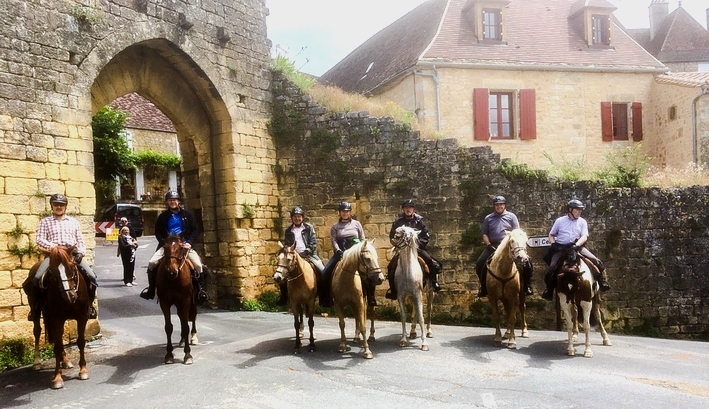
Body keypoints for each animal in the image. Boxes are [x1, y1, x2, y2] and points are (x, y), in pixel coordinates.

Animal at [26, 245, 90, 388]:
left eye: (71, 266)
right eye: (54, 271)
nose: (70, 296)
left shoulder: (82, 317)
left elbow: (80, 342)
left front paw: (83, 370)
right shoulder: (57, 319)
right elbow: (58, 346)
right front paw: (57, 378)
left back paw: (65, 360)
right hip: (37, 312)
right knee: (37, 331)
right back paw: (37, 362)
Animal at [156, 233, 196, 364]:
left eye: (181, 248)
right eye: (165, 247)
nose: (171, 272)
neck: (174, 280)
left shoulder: (186, 300)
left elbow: (186, 326)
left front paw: (187, 355)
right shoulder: (164, 302)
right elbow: (168, 327)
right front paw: (169, 355)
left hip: (192, 302)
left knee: (192, 317)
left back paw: (193, 337)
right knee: (181, 317)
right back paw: (182, 340)